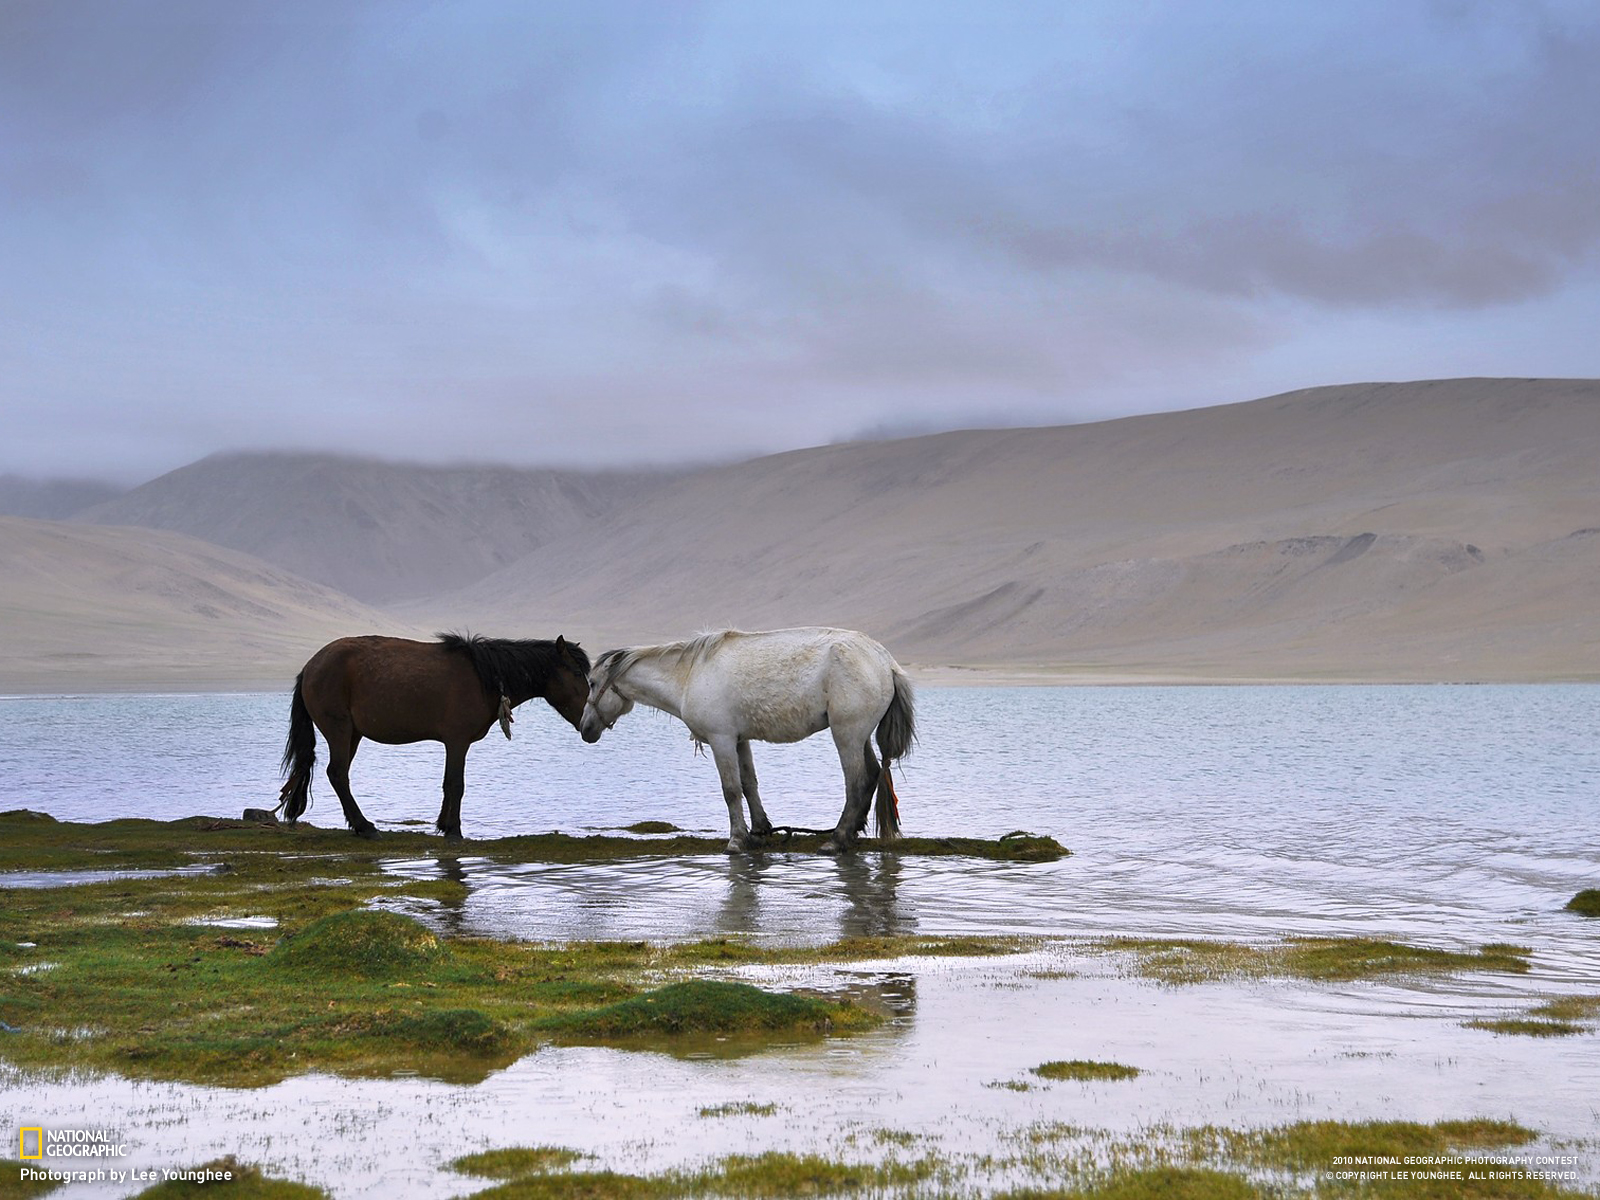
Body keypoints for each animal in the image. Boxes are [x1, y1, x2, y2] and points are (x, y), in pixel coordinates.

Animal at [278, 633, 592, 838]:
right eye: (577, 673)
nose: (589, 722)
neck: (486, 677)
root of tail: (310, 667)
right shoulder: (458, 742)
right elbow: (456, 784)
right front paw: (454, 829)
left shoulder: (452, 744)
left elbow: (446, 784)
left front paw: (443, 823)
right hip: (340, 730)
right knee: (338, 774)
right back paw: (364, 826)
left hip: (353, 733)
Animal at [582, 630, 921, 857]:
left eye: (593, 683)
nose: (585, 729)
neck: (689, 675)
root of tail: (887, 663)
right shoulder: (739, 740)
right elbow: (749, 785)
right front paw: (759, 832)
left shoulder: (721, 740)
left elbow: (731, 790)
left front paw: (736, 840)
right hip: (859, 736)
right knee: (872, 774)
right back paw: (851, 833)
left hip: (846, 735)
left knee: (856, 781)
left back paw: (837, 839)